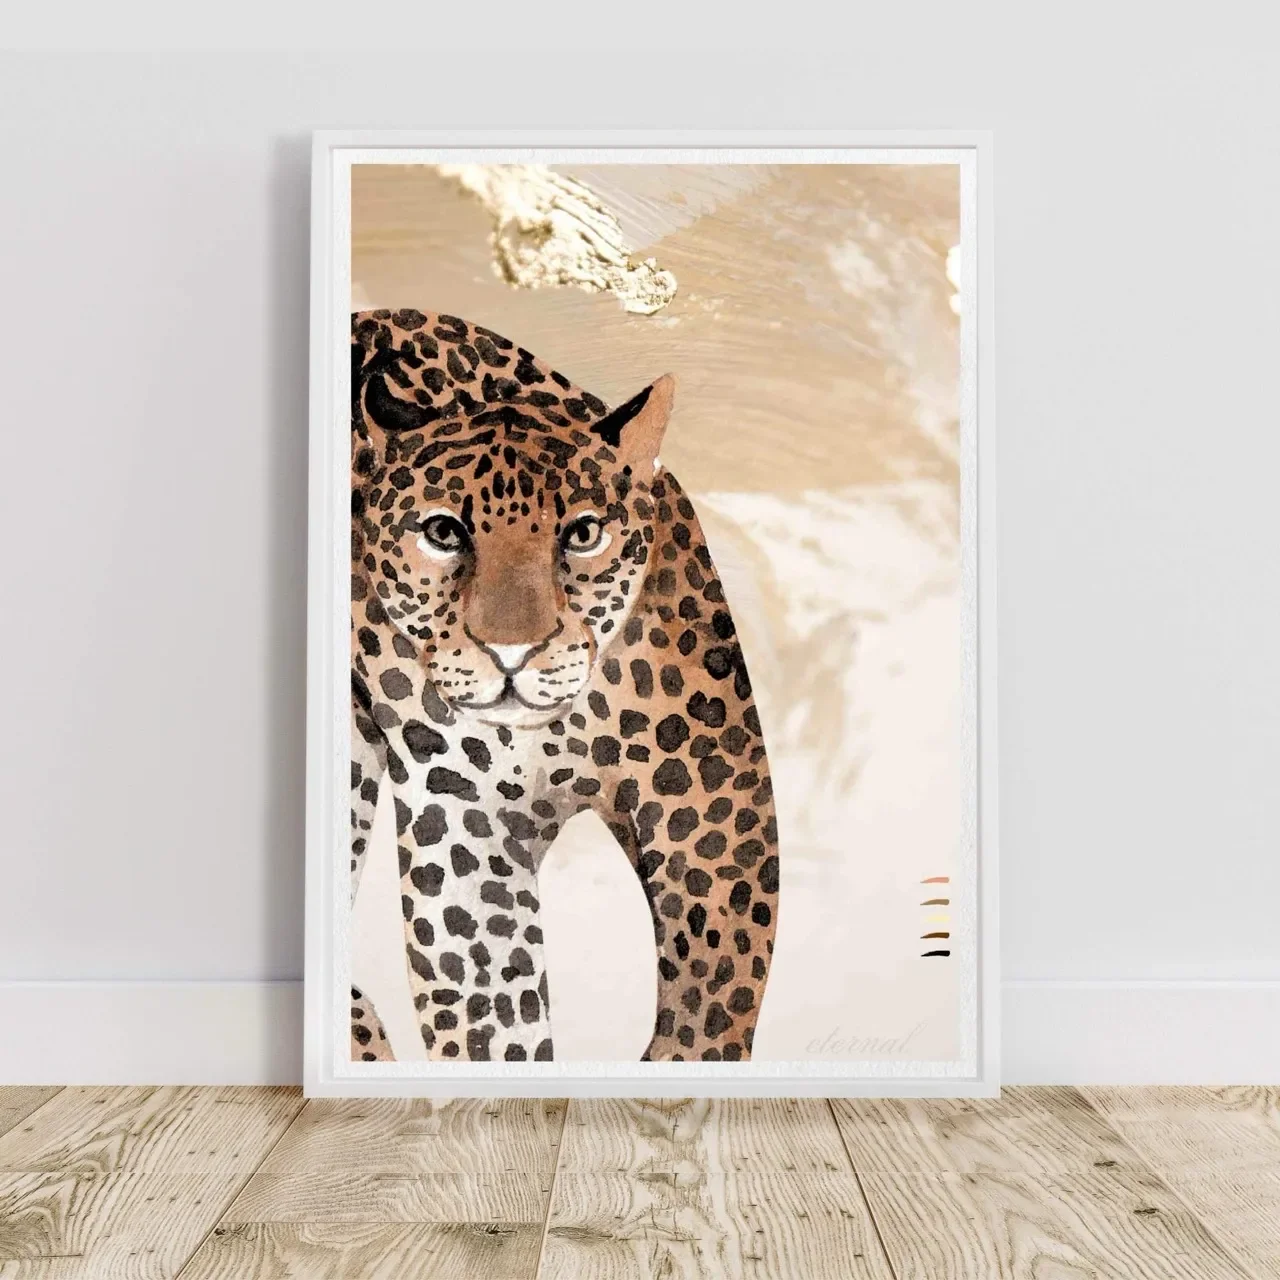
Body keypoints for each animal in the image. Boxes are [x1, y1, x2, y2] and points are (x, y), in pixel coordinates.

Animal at [348, 308, 780, 1064]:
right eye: (443, 532)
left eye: (581, 534)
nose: (511, 652)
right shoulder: (467, 831)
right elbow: (492, 1013)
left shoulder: (712, 798)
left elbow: (714, 990)